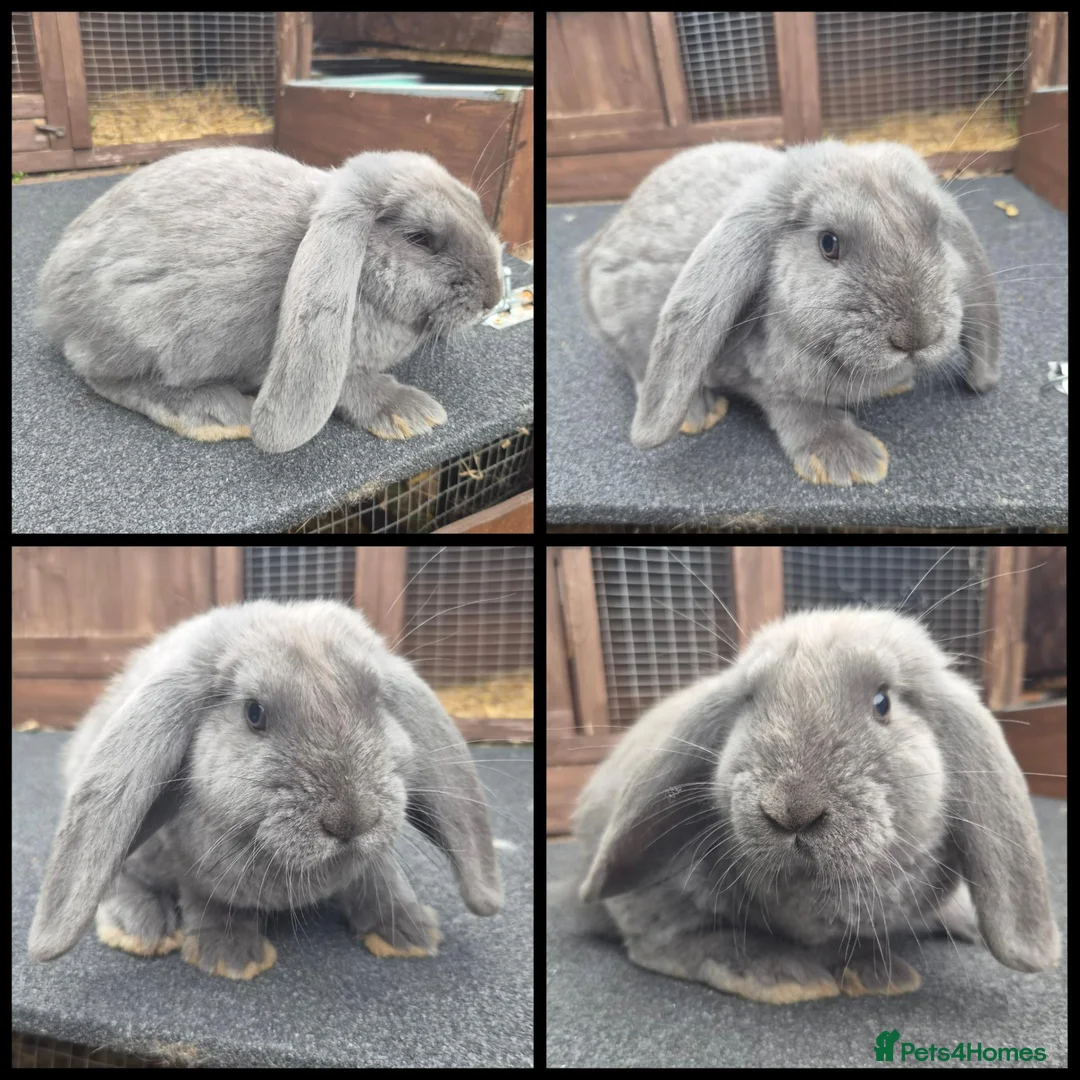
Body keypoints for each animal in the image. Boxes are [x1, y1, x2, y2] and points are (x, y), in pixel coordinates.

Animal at [28, 600, 503, 979]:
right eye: (254, 713)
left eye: (376, 698)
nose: (352, 821)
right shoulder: (194, 863)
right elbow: (207, 896)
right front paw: (231, 956)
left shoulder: (372, 861)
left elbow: (381, 877)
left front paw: (408, 933)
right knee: (119, 878)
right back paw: (142, 929)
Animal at [35, 147, 504, 453]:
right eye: (419, 239)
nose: (494, 298)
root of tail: (51, 300)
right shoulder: (336, 363)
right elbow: (352, 388)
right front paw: (414, 415)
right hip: (145, 326)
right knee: (104, 375)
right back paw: (220, 416)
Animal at [569, 609, 1059, 1004]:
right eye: (750, 702)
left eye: (883, 702)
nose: (791, 811)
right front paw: (852, 973)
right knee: (662, 940)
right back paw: (787, 976)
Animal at [578, 140, 1000, 485]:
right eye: (828, 243)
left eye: (935, 228)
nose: (917, 337)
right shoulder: (770, 381)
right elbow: (799, 410)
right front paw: (850, 461)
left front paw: (898, 384)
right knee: (638, 364)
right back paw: (696, 413)